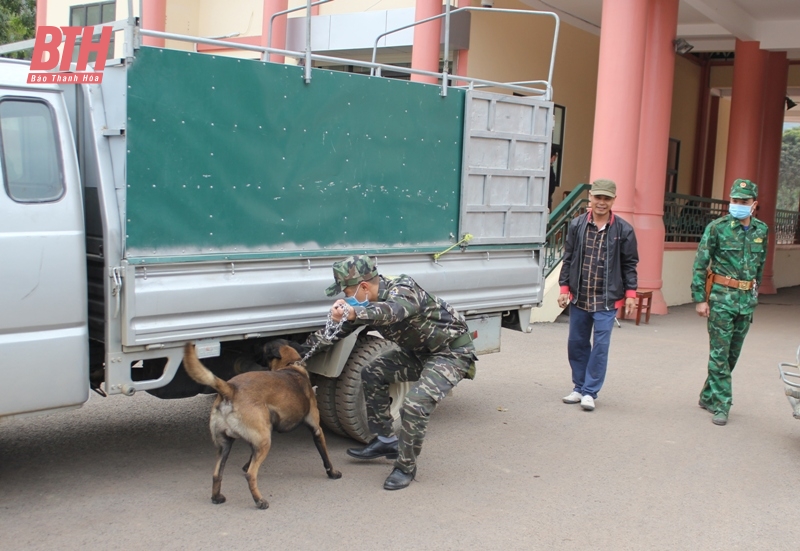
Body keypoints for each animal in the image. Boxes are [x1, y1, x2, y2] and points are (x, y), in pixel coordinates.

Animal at [182, 338, 340, 512]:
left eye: (262, 349)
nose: (253, 347)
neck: (290, 365)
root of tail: (231, 389)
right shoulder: (316, 430)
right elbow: (325, 457)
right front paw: (332, 473)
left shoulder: (260, 436)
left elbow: (250, 456)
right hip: (264, 442)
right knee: (251, 475)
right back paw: (259, 501)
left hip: (226, 445)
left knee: (217, 474)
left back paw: (217, 497)